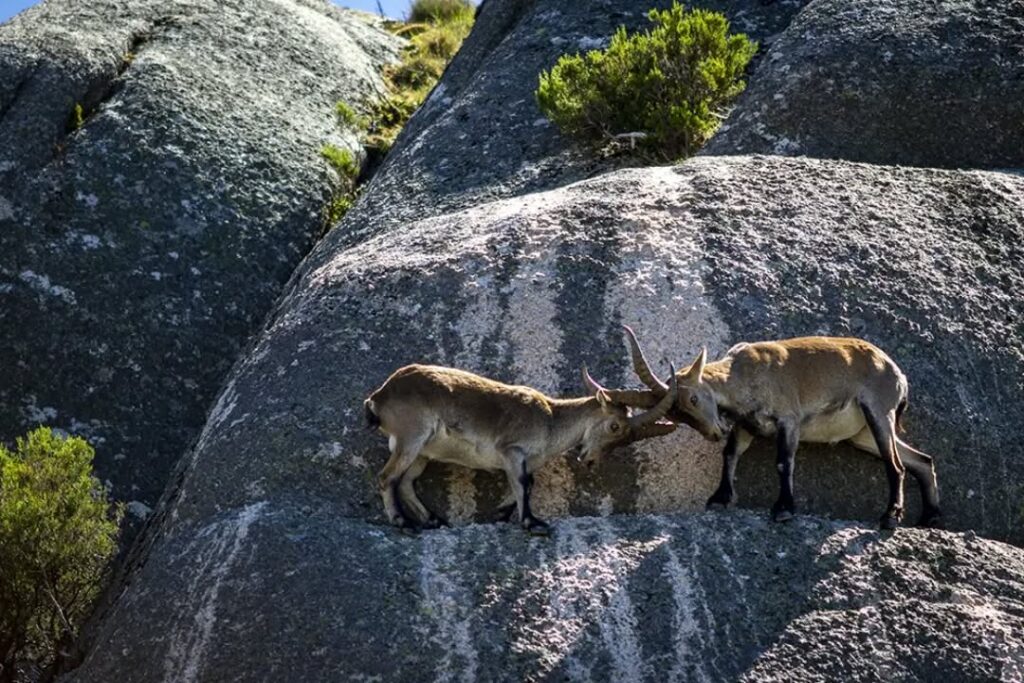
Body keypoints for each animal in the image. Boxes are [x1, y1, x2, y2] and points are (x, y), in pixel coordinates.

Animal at [364, 363, 678, 535]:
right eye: (615, 427)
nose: (589, 460)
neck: (551, 420)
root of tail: (379, 397)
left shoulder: (523, 460)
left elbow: (526, 483)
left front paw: (501, 513)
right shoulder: (512, 450)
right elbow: (523, 483)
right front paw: (532, 523)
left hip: (423, 452)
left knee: (406, 481)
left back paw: (433, 519)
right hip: (412, 436)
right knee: (387, 477)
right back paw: (402, 522)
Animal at [618, 327, 942, 529]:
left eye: (694, 399)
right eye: (680, 415)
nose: (714, 433)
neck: (742, 374)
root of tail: (896, 372)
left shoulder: (789, 420)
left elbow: (784, 462)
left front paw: (784, 509)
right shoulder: (746, 425)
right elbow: (731, 454)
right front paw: (720, 498)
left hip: (878, 412)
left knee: (896, 465)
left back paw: (890, 517)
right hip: (861, 435)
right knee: (922, 461)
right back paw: (930, 517)